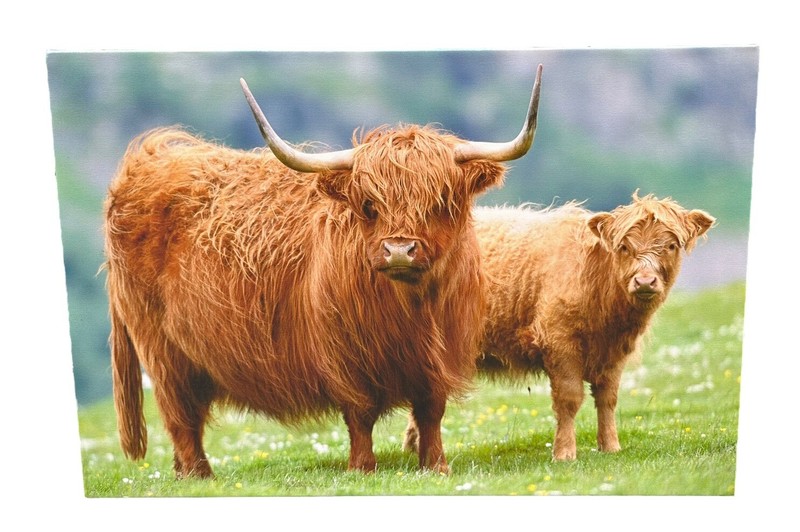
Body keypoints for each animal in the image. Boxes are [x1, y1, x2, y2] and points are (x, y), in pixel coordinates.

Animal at [103, 65, 543, 478]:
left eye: (440, 201)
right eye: (369, 205)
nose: (399, 250)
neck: (412, 311)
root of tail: (144, 164)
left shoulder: (442, 355)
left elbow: (430, 411)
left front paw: (436, 466)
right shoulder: (344, 352)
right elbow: (360, 414)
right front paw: (362, 467)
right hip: (162, 350)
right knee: (181, 416)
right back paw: (200, 475)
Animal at [404, 192, 714, 460]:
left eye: (671, 246)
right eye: (624, 247)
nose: (645, 281)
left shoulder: (615, 353)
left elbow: (608, 399)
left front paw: (610, 446)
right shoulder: (559, 342)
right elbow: (569, 398)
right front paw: (565, 452)